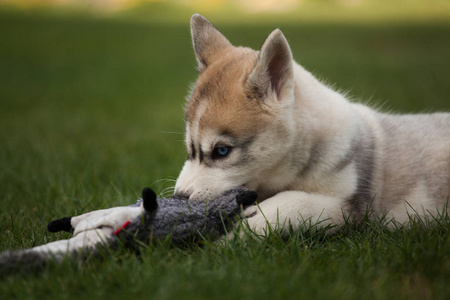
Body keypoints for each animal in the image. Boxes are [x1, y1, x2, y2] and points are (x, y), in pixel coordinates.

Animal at [175, 14, 450, 234]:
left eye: (222, 151)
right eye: (189, 149)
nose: (178, 198)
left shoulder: (347, 207)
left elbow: (290, 202)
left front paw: (235, 233)